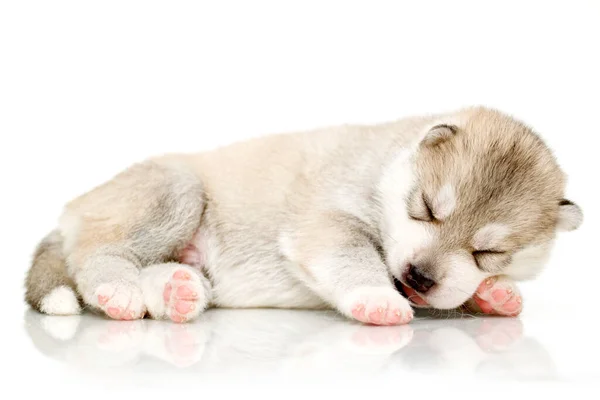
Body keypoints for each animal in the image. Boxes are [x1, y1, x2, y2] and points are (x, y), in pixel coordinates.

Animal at [23, 107, 580, 324]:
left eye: (489, 252)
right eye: (424, 210)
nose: (420, 276)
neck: (386, 165)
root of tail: (71, 211)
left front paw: (495, 294)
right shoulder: (328, 221)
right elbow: (355, 258)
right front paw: (378, 298)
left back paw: (176, 292)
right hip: (175, 189)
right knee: (97, 253)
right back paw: (117, 290)